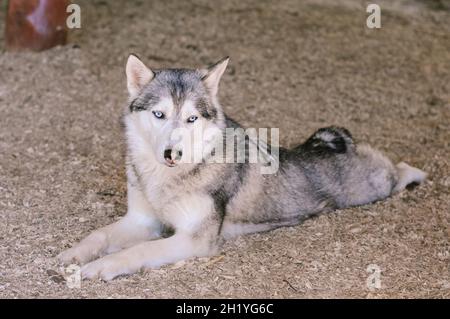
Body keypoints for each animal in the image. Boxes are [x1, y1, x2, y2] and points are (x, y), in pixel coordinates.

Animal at [58, 56, 428, 282]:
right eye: (159, 114)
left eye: (191, 118)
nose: (172, 153)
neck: (169, 177)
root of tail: (332, 143)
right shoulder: (141, 221)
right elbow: (99, 235)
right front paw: (75, 253)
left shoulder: (194, 240)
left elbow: (138, 250)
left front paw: (101, 267)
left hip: (376, 185)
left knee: (400, 169)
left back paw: (417, 174)